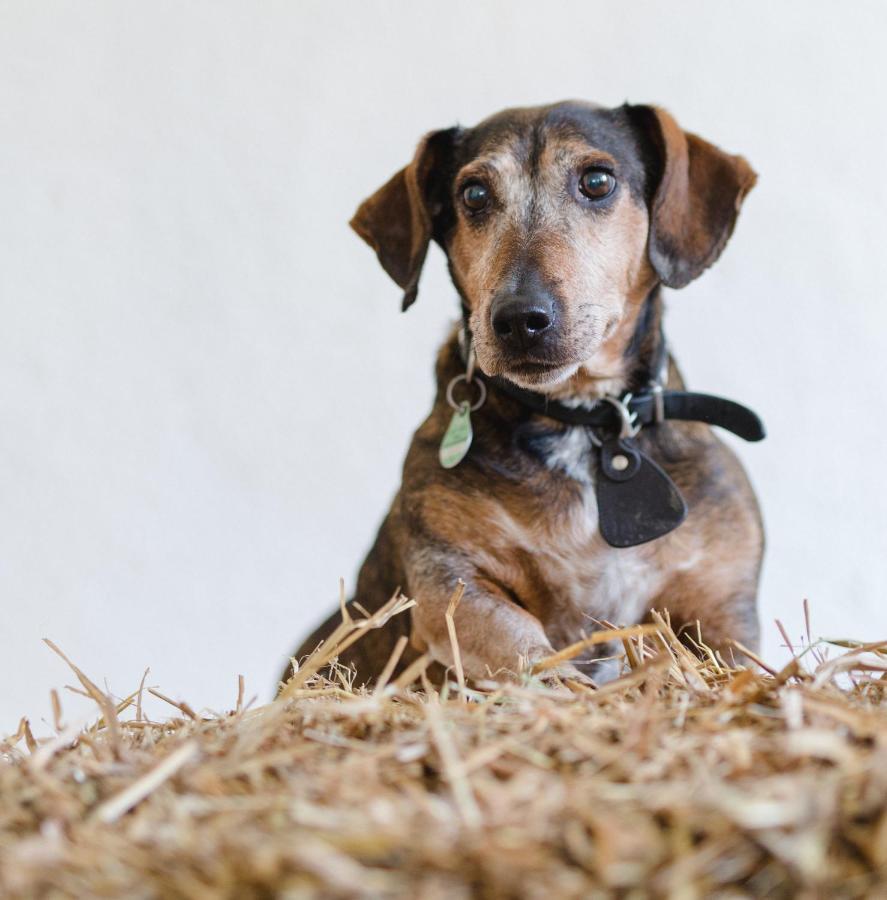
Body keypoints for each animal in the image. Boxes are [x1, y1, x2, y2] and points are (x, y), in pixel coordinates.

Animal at [282, 100, 764, 688]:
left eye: (597, 181)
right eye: (473, 194)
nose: (518, 320)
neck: (583, 424)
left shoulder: (725, 609)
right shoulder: (450, 582)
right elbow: (522, 644)